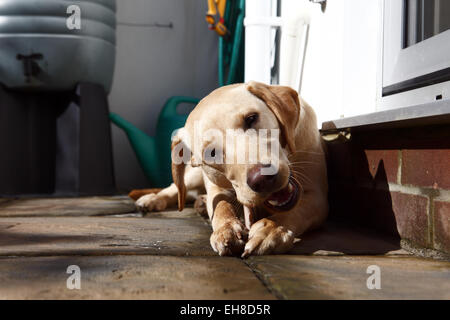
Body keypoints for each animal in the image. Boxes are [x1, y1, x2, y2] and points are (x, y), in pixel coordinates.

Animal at [134, 81, 326, 256]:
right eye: (211, 153)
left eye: (251, 118)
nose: (262, 178)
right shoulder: (215, 185)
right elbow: (221, 205)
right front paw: (226, 228)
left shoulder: (318, 197)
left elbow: (297, 210)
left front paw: (271, 229)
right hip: (194, 176)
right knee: (177, 189)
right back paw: (153, 199)